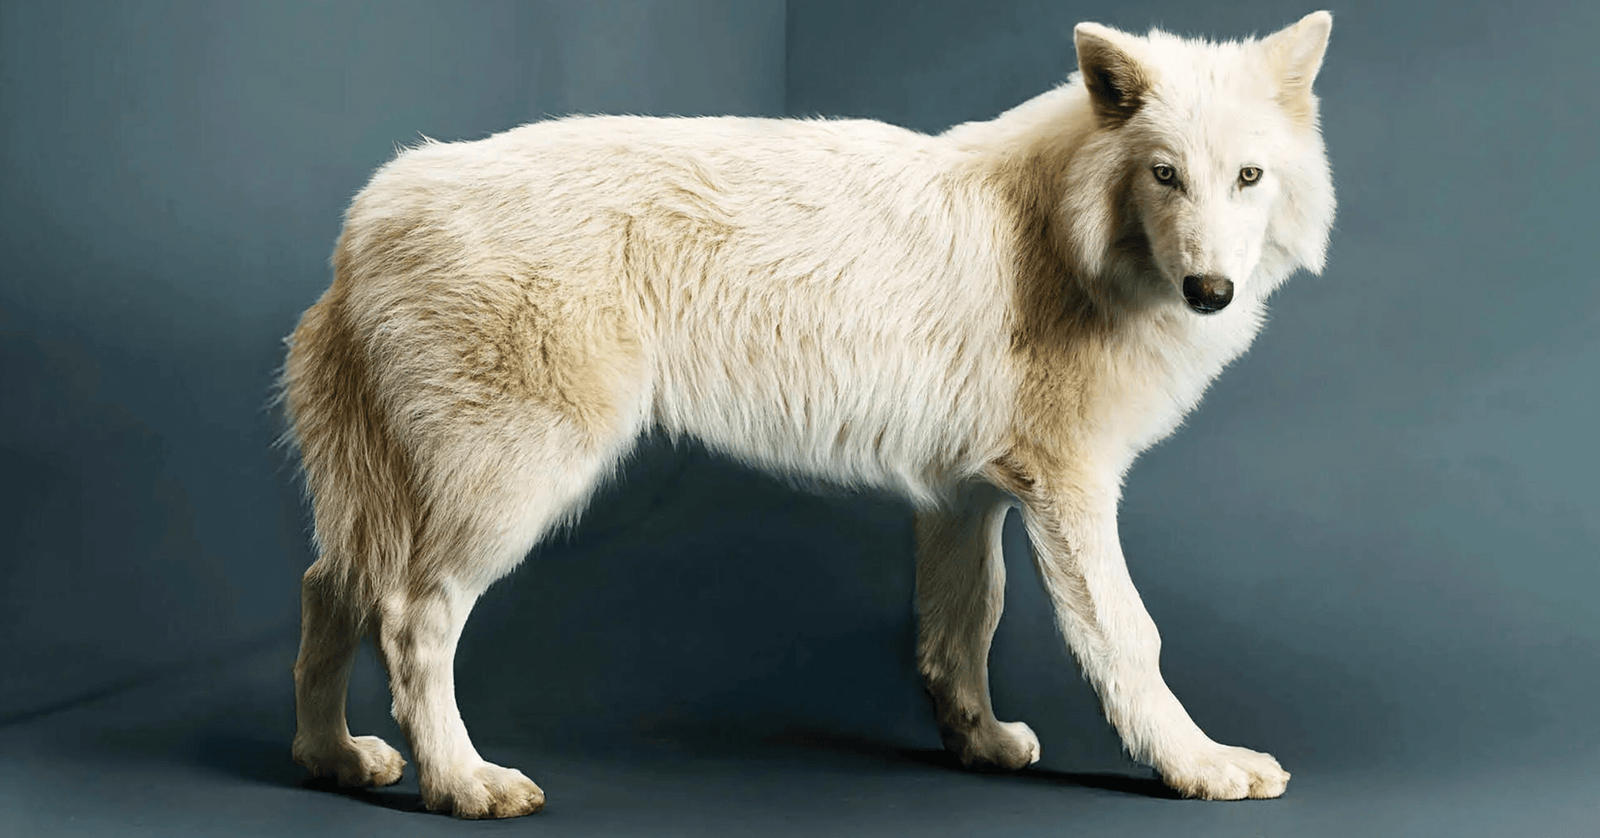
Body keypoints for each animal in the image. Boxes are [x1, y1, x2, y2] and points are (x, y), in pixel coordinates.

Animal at [280, 12, 1335, 817]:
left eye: (1247, 177)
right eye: (1165, 174)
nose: (1210, 292)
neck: (1067, 236)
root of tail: (370, 210)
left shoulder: (966, 499)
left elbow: (963, 630)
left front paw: (981, 744)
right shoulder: (1069, 491)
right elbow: (1129, 638)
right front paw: (1200, 767)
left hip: (397, 498)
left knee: (327, 586)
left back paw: (333, 759)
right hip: (513, 487)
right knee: (410, 617)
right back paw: (463, 784)